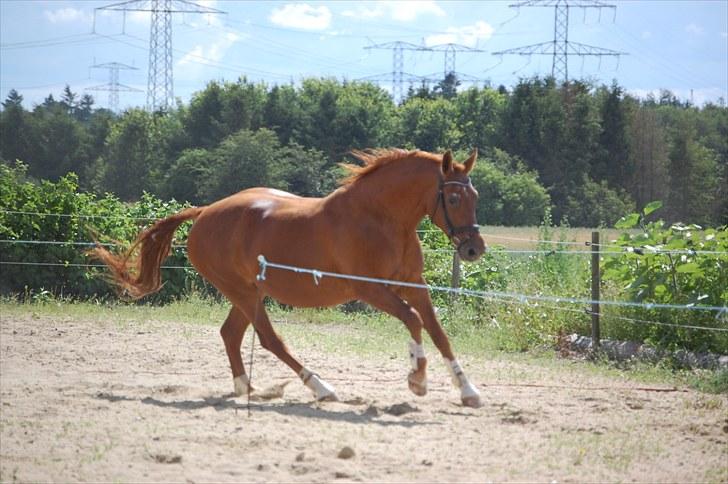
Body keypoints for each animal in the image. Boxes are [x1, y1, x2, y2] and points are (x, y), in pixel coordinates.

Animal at [92, 149, 490, 406]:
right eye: (454, 198)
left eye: (475, 194)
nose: (474, 249)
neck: (379, 219)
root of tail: (205, 212)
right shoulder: (370, 289)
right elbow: (414, 319)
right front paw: (417, 381)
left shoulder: (415, 285)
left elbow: (438, 331)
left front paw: (468, 391)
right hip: (243, 292)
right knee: (269, 340)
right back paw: (320, 388)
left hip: (250, 293)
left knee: (231, 334)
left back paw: (247, 388)